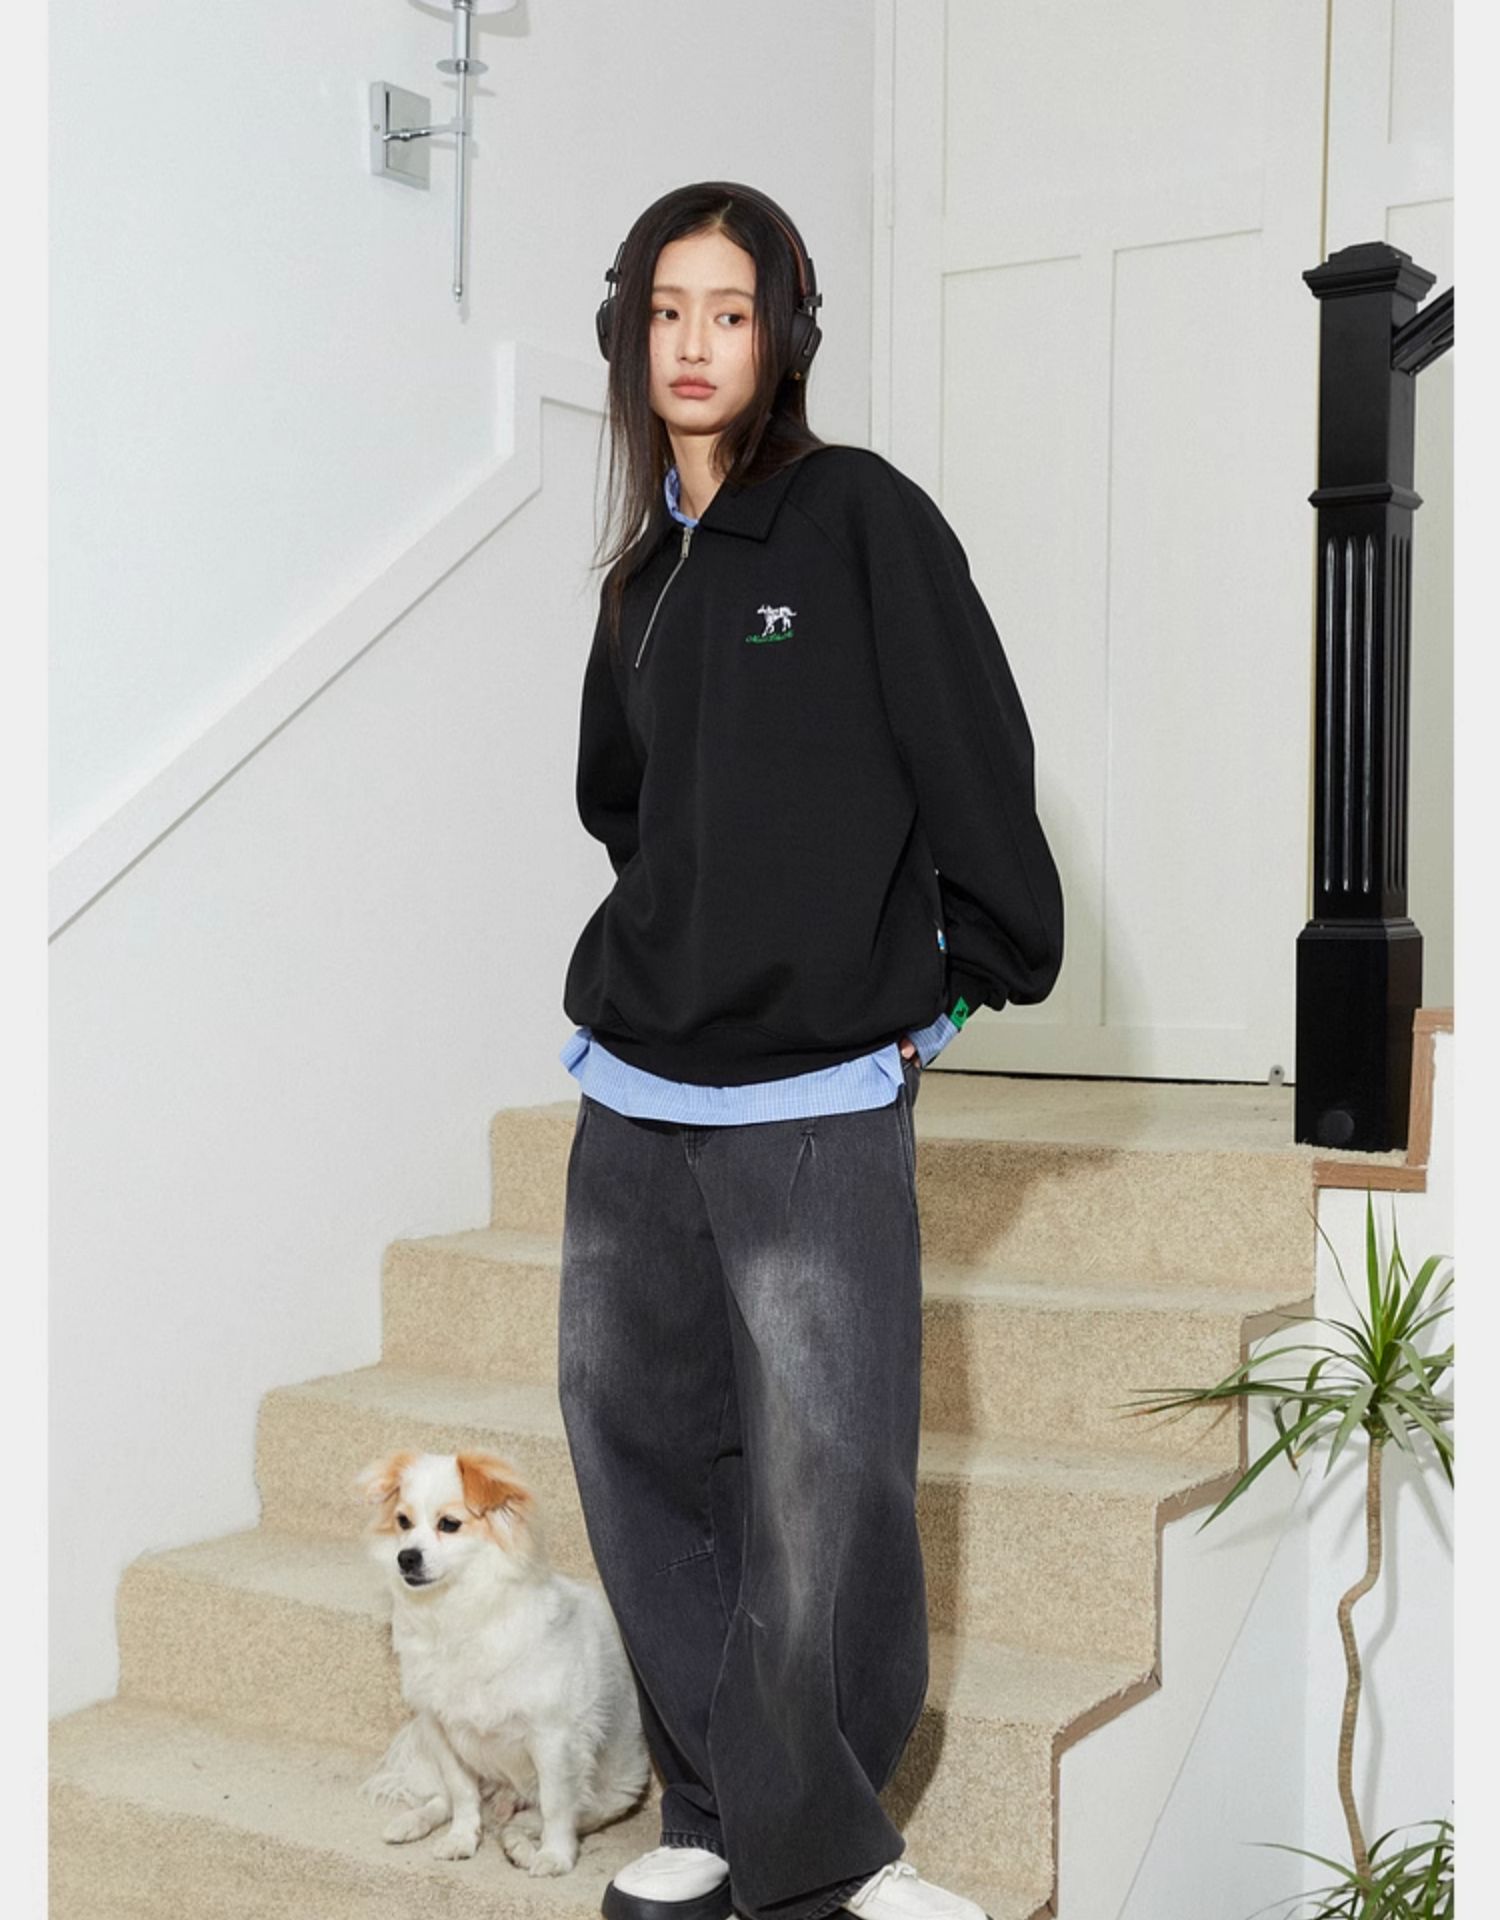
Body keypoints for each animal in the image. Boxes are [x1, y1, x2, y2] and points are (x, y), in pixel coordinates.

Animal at [355, 1447, 651, 1873]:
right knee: (448, 1800)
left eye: (449, 1524)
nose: (406, 1557)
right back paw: (414, 1822)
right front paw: (462, 1839)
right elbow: (461, 1794)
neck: (457, 1610)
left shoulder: (553, 1740)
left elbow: (556, 1806)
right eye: (403, 1522)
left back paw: (520, 1843)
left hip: (612, 1793)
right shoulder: (440, 1729)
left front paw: (556, 1857)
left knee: (539, 1816)